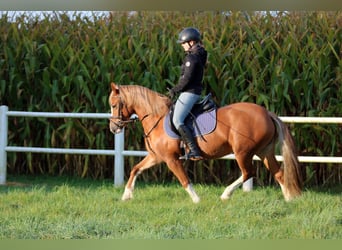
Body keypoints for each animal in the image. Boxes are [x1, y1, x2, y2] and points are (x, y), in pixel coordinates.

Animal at [109, 82, 302, 203]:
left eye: (113, 105)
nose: (113, 128)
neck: (157, 117)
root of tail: (266, 112)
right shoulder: (156, 156)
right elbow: (135, 169)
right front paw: (126, 195)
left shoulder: (171, 159)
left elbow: (184, 180)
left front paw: (196, 200)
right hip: (264, 152)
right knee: (279, 173)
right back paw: (289, 199)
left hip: (243, 152)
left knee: (249, 173)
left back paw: (225, 195)